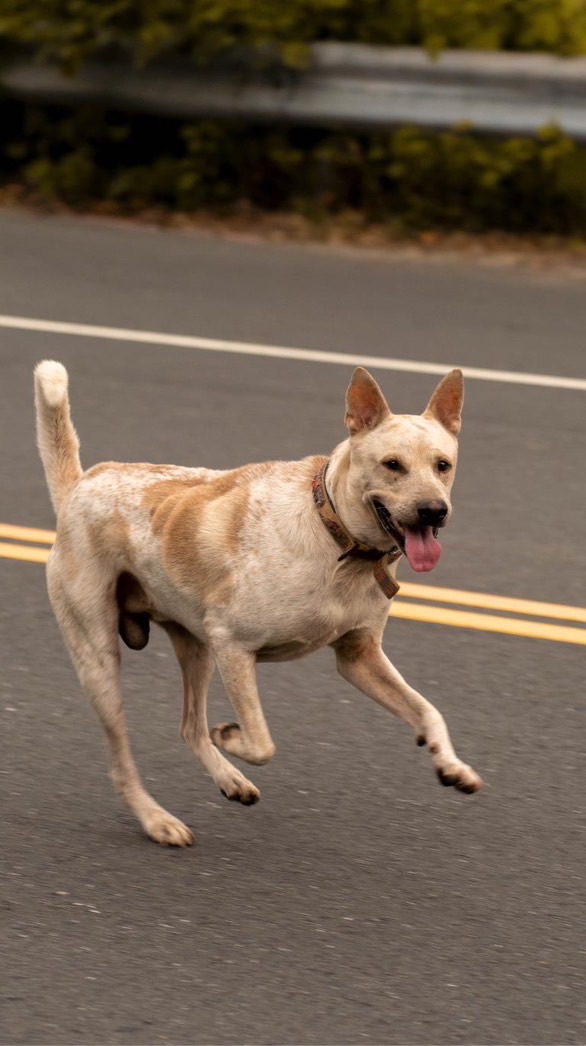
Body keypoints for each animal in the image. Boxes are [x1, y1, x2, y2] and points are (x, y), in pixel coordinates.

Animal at [34, 357, 481, 840]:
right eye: (392, 465)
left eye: (443, 465)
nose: (434, 511)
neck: (335, 537)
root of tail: (80, 484)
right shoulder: (234, 645)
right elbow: (262, 741)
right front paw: (231, 736)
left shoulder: (359, 658)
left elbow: (429, 711)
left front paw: (450, 764)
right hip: (102, 660)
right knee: (122, 760)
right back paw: (158, 820)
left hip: (195, 647)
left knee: (189, 727)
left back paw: (230, 780)